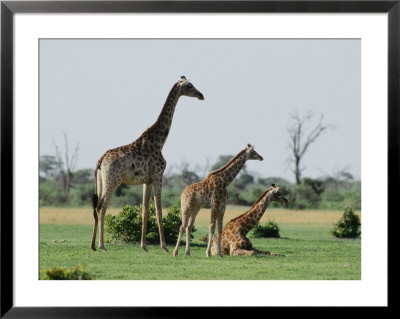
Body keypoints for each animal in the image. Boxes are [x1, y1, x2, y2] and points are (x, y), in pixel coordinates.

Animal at [90, 75, 203, 252]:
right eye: (190, 86)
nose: (201, 95)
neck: (160, 141)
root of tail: (100, 160)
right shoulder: (158, 175)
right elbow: (159, 211)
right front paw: (164, 246)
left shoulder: (146, 181)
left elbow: (145, 211)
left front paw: (144, 246)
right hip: (113, 180)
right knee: (102, 207)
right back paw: (102, 246)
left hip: (101, 180)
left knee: (96, 207)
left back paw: (93, 245)